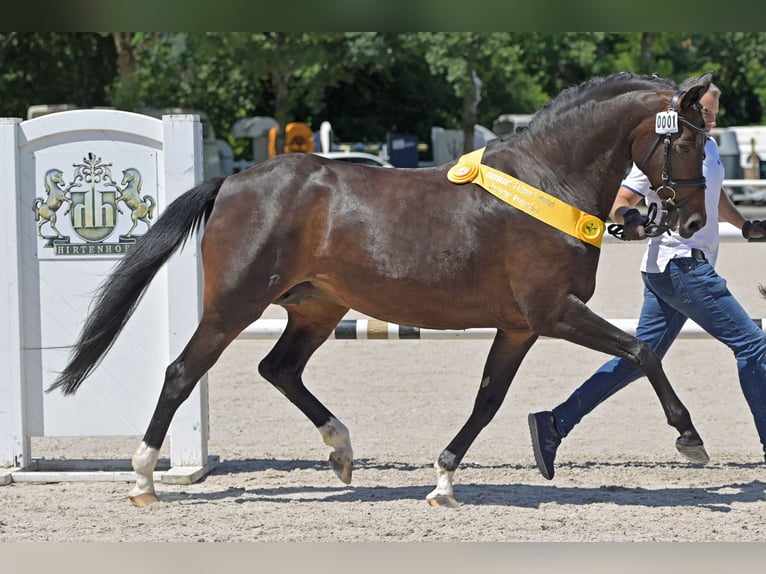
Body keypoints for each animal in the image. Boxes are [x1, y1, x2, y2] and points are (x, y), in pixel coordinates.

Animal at [49, 72, 712, 508]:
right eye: (684, 141)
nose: (691, 223)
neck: (549, 180)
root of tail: (233, 182)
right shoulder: (553, 313)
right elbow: (642, 351)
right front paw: (690, 439)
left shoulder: (520, 326)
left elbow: (488, 400)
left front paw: (443, 480)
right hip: (234, 305)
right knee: (182, 372)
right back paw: (143, 480)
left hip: (317, 308)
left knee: (278, 368)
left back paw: (341, 451)